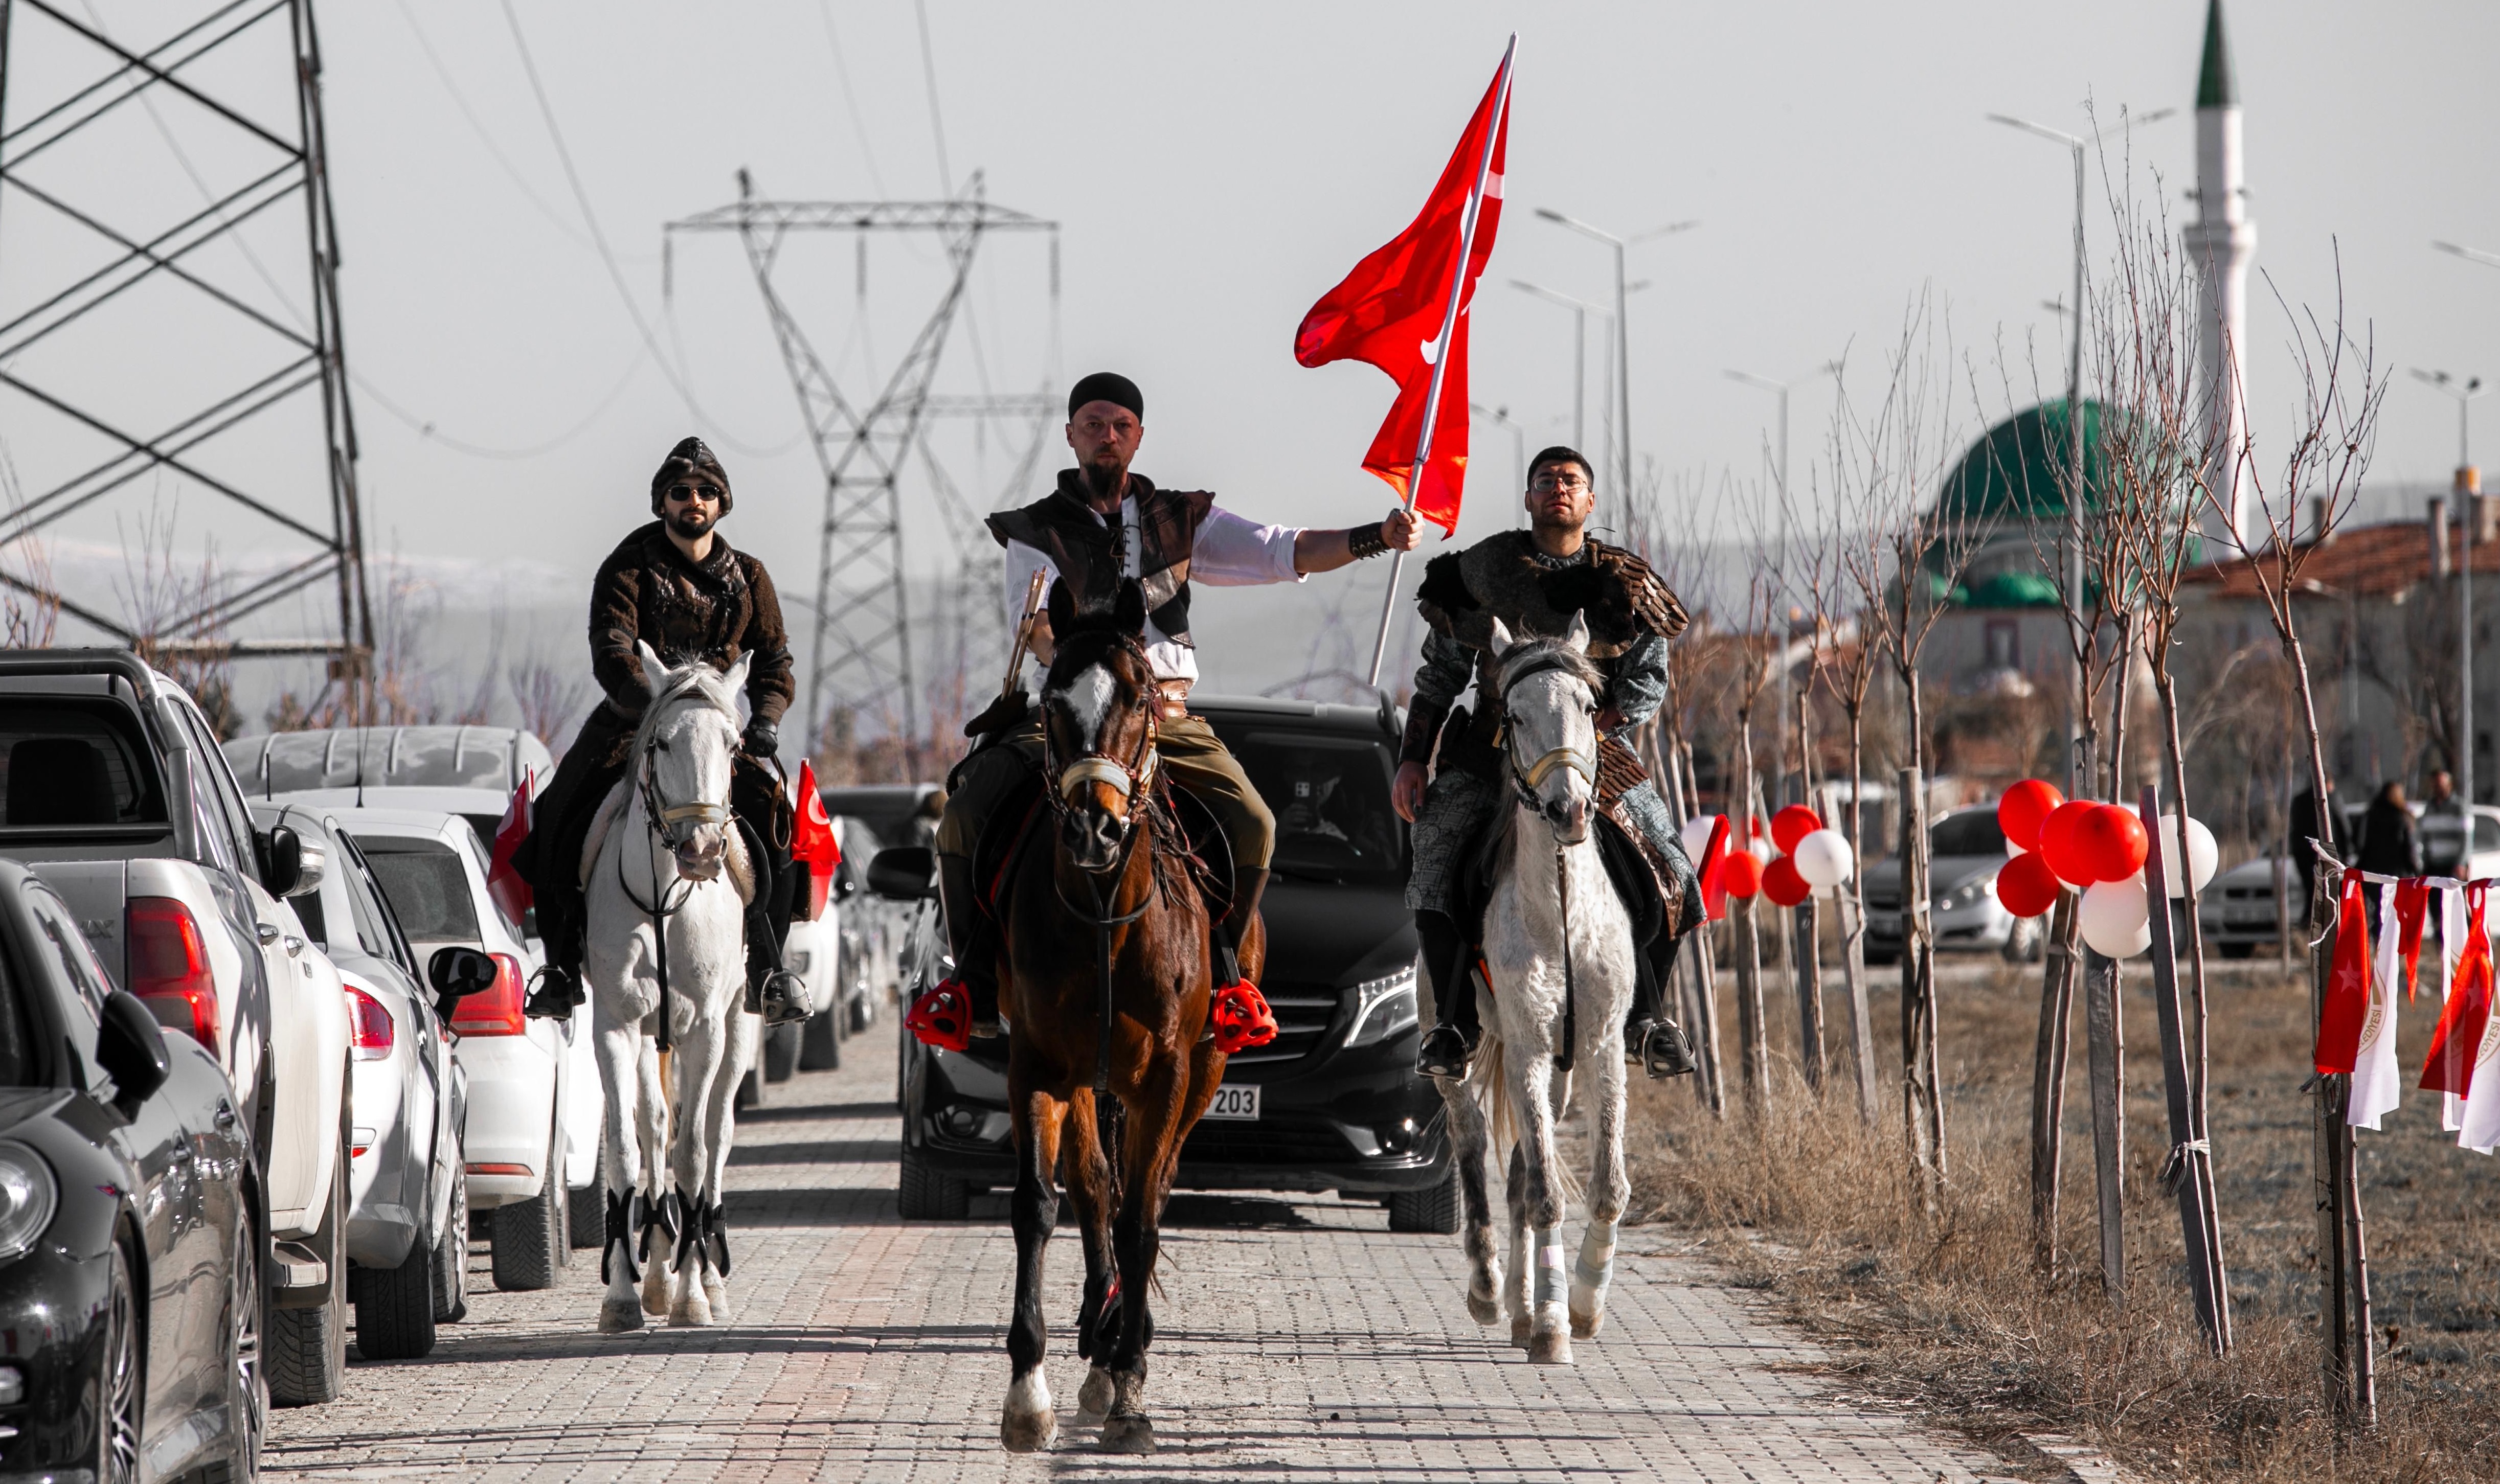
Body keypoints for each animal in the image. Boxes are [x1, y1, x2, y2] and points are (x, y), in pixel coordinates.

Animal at [587, 640, 760, 1319]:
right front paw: (622, 1294)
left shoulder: (706, 1026)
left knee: (715, 1131)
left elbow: (693, 1150)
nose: (703, 849)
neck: (664, 899)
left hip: (737, 1028)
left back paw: (705, 1275)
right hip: (648, 1037)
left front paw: (691, 1296)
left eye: (734, 745)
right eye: (661, 742)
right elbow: (626, 1146)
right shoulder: (615, 1025)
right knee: (655, 1124)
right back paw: (657, 1268)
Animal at [990, 575, 1260, 1449]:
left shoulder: (1167, 1073)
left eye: (1140, 698)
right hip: (1085, 1075)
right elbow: (1040, 1204)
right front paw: (1028, 1390)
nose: (1094, 826)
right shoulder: (1037, 1063)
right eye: (1052, 701)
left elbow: (1143, 1215)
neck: (1105, 906)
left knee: (1149, 1188)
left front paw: (1133, 1387)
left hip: (1203, 1068)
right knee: (1092, 1184)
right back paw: (1098, 1341)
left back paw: (1119, 1348)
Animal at [1430, 607, 1640, 1359]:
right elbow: (1549, 1190)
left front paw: (1580, 1304)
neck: (1560, 911)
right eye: (1514, 714)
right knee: (1471, 1144)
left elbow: (1606, 1186)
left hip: (1560, 1066)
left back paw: (1521, 1306)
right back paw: (1491, 1291)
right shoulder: (1522, 1044)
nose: (1568, 811)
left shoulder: (1600, 1046)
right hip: (1459, 1044)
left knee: (1519, 1171)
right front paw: (1553, 1327)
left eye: (1587, 705)